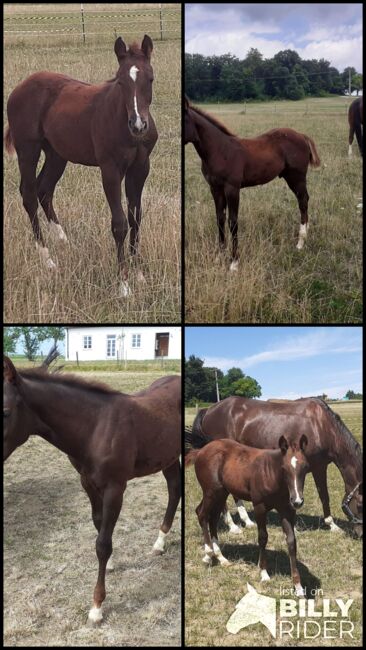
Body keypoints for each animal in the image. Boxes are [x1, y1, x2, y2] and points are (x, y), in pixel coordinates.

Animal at [2, 354, 180, 624]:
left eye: (5, 412)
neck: (94, 427)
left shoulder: (115, 488)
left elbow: (102, 543)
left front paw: (97, 606)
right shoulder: (87, 483)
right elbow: (99, 526)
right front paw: (112, 564)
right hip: (167, 458)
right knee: (175, 489)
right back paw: (159, 543)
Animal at [4, 35, 157, 294]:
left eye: (151, 79)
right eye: (120, 81)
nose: (138, 125)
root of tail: (20, 87)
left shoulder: (140, 168)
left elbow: (136, 218)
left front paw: (139, 275)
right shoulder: (110, 169)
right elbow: (120, 223)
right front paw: (123, 285)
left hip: (57, 154)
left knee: (44, 190)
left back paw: (64, 241)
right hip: (28, 150)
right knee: (29, 195)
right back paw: (48, 259)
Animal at [184, 96, 318, 264]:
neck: (220, 150)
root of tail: (301, 135)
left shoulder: (232, 188)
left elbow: (233, 222)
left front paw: (234, 262)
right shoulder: (215, 188)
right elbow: (220, 219)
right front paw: (219, 256)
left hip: (296, 177)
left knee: (303, 201)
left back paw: (301, 242)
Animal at [186, 432, 308, 596]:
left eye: (305, 467)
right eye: (284, 468)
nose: (297, 501)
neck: (272, 474)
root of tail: (201, 451)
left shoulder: (287, 510)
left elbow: (291, 541)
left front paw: (298, 586)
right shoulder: (259, 507)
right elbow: (263, 537)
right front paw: (264, 573)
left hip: (221, 493)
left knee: (213, 519)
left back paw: (221, 557)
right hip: (211, 491)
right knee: (201, 513)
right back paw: (208, 554)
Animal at [189, 394, 364, 536]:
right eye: (360, 505)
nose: (360, 533)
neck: (321, 426)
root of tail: (209, 410)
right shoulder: (318, 468)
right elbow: (324, 496)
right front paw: (332, 525)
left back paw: (248, 521)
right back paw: (233, 526)